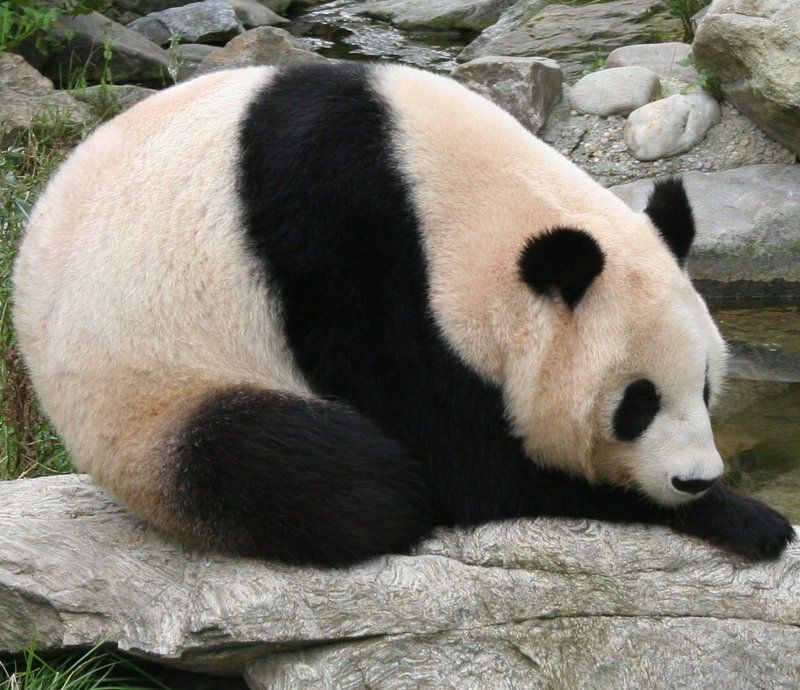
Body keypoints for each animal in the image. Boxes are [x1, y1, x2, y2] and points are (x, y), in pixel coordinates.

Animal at [12, 61, 792, 564]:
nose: (695, 477)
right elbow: (462, 466)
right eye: (637, 402)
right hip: (150, 407)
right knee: (319, 474)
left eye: (705, 387)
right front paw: (749, 518)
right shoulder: (339, 248)